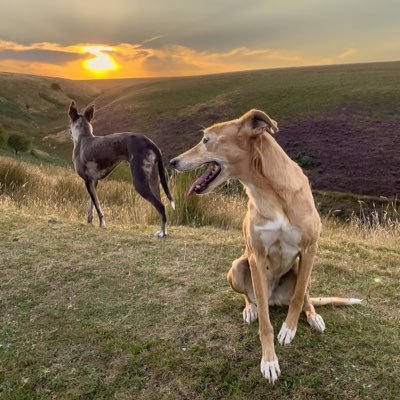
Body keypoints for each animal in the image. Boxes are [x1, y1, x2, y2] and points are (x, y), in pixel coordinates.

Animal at [170, 110, 360, 384]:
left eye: (206, 140)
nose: (172, 161)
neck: (269, 191)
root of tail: (274, 300)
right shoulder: (257, 257)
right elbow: (265, 325)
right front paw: (269, 360)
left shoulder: (310, 249)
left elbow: (298, 297)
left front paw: (289, 329)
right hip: (238, 266)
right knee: (251, 297)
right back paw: (251, 309)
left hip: (304, 270)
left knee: (304, 295)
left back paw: (313, 315)